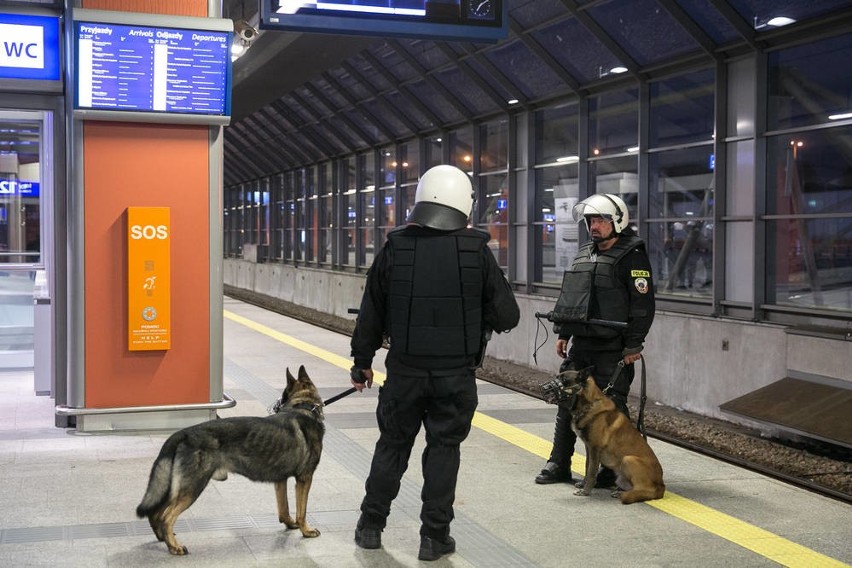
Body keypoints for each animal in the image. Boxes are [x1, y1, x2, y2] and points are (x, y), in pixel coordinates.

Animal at [135, 364, 324, 556]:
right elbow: (302, 511)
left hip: (178, 488)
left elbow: (284, 508)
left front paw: (290, 523)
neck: (303, 407)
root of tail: (183, 433)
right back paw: (174, 546)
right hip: (193, 487)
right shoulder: (305, 478)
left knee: (156, 513)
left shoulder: (280, 480)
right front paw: (306, 530)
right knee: (166, 516)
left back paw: (164, 538)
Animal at [544, 368, 664, 506]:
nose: (544, 387)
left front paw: (586, 491)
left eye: (564, 380)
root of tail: (662, 486)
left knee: (646, 490)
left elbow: (591, 472)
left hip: (629, 459)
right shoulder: (589, 449)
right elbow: (587, 467)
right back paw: (619, 492)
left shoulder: (594, 449)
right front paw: (583, 484)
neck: (589, 404)